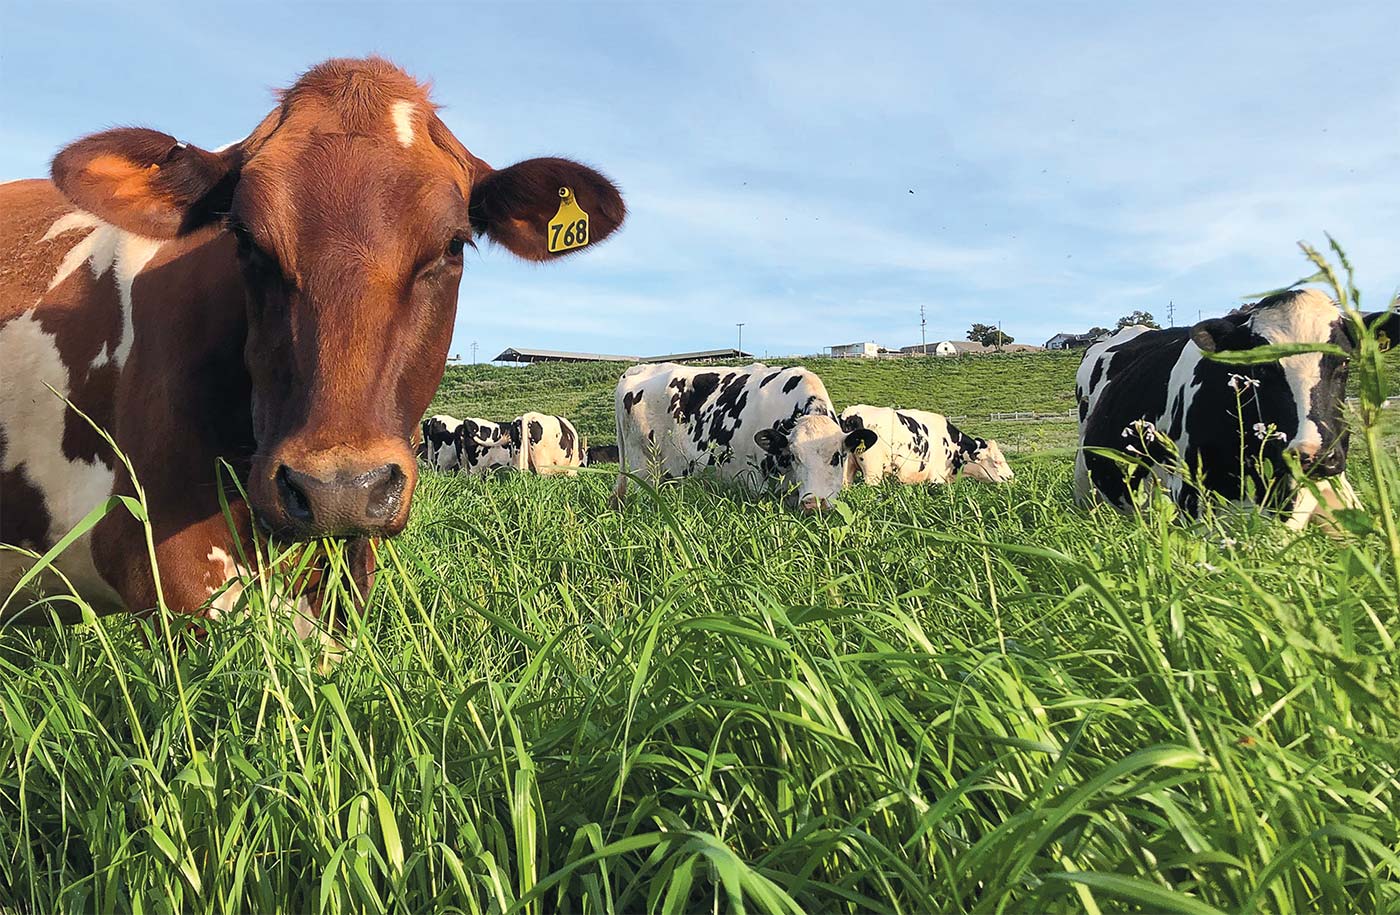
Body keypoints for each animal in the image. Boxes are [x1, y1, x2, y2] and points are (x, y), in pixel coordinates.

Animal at [613, 360, 873, 512]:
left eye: (838, 457)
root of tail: (637, 369)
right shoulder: (756, 483)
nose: (813, 504)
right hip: (643, 470)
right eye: (794, 457)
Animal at [834, 405, 1013, 484]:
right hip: (873, 470)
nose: (1011, 477)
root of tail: (849, 414)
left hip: (846, 469)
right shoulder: (936, 477)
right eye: (997, 461)